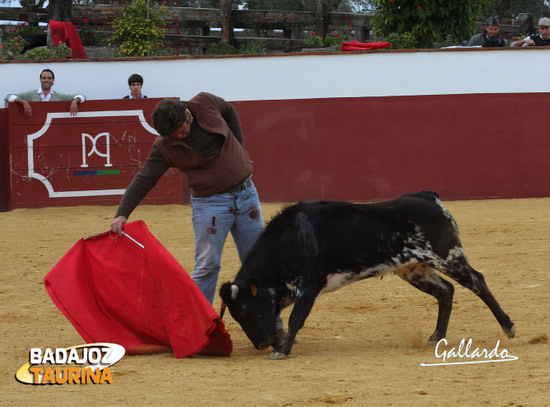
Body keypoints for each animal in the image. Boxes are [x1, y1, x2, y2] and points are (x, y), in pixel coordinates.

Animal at [220, 191, 516, 360]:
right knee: (446, 291)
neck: (289, 241)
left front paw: (282, 350)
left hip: (447, 256)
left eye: (245, 309)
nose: (260, 345)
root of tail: (428, 199)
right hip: (414, 269)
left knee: (477, 281)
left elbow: (296, 319)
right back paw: (436, 336)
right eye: (235, 314)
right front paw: (280, 345)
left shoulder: (309, 284)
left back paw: (508, 326)